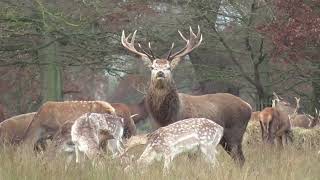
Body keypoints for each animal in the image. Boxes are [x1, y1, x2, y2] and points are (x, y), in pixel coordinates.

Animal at [121, 26, 254, 167]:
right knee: (238, 158)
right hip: (225, 139)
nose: (160, 73)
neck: (168, 116)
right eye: (152, 67)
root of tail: (248, 106)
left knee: (239, 157)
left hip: (235, 132)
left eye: (169, 67)